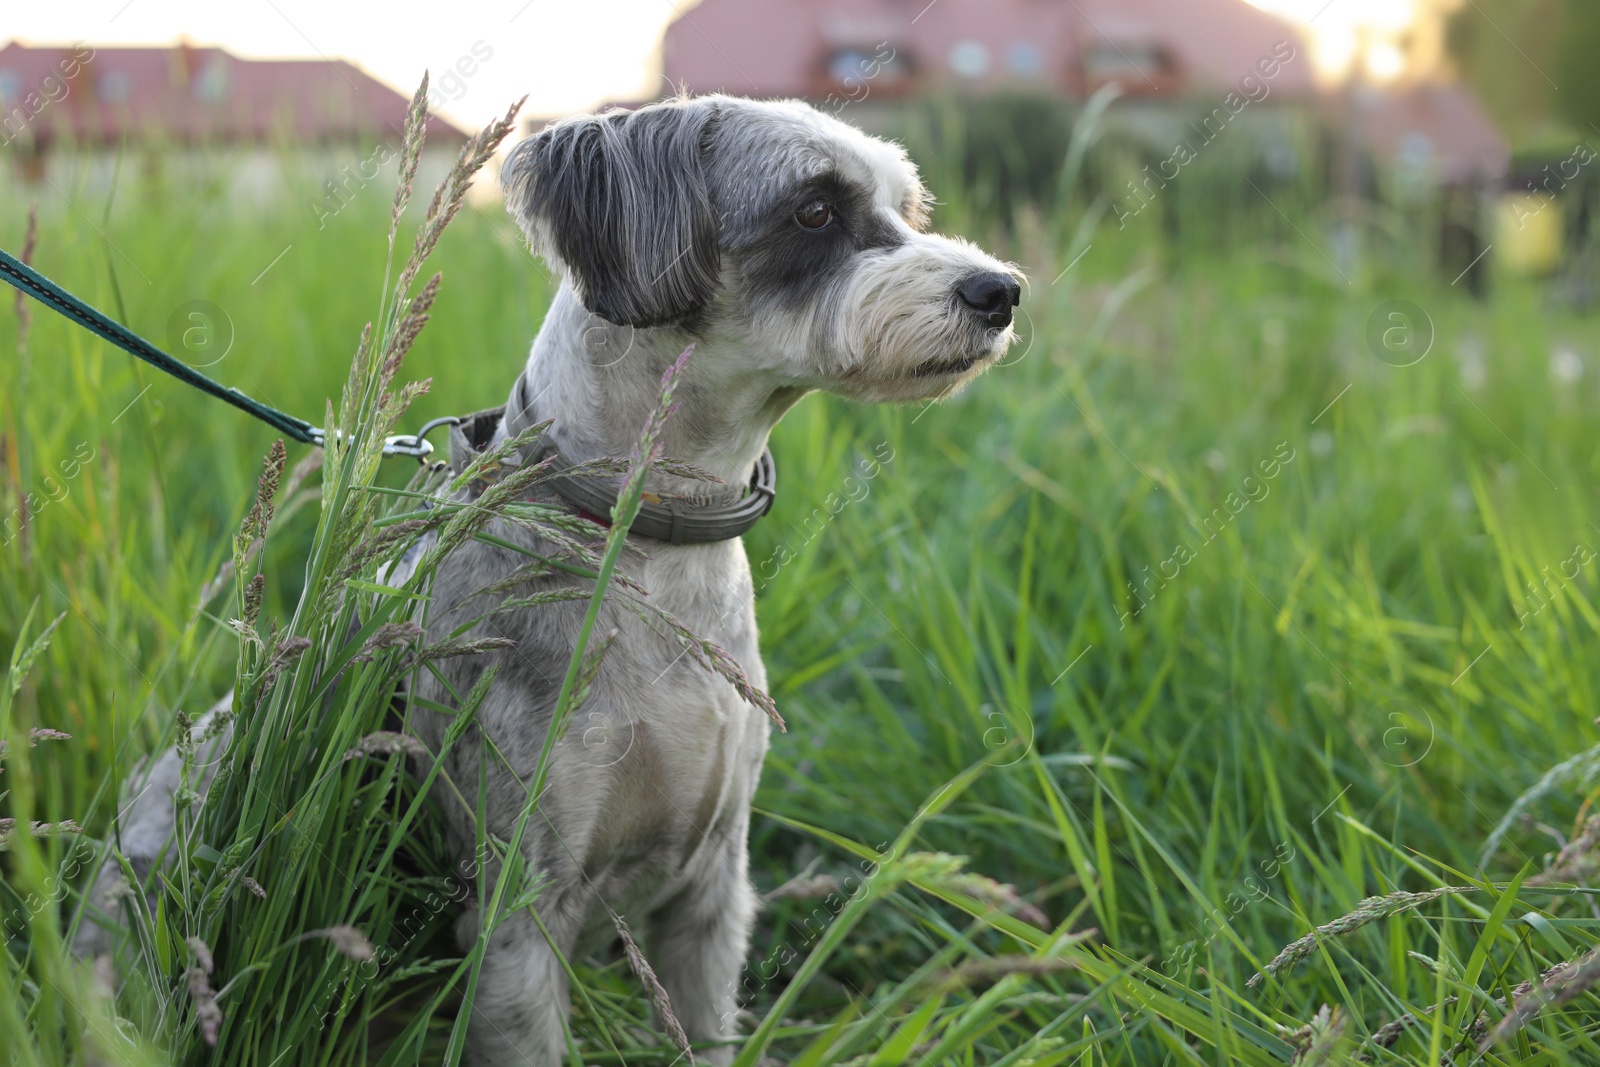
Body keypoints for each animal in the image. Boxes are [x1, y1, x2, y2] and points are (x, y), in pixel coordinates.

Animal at [81, 95, 1017, 1062]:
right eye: (815, 210)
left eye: (909, 207)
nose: (999, 291)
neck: (643, 542)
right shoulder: (521, 910)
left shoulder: (712, 894)